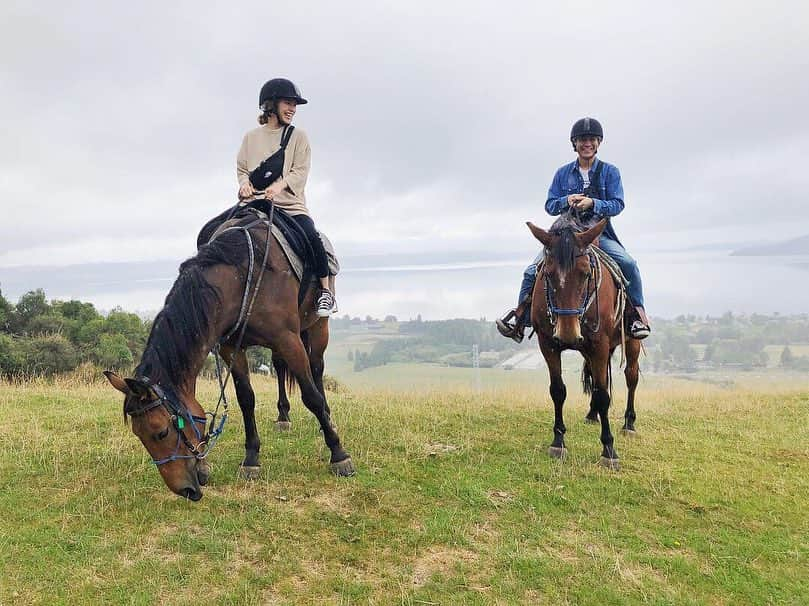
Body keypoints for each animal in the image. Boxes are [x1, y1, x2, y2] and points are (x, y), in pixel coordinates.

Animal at [103, 210, 350, 504]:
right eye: (139, 435)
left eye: (161, 432)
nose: (185, 490)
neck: (242, 277)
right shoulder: (232, 348)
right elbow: (246, 400)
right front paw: (251, 458)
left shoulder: (289, 339)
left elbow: (311, 396)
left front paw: (339, 454)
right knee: (279, 367)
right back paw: (283, 417)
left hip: (317, 327)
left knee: (317, 370)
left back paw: (327, 420)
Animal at [528, 213, 640, 470]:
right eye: (547, 274)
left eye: (586, 274)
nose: (568, 333)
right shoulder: (548, 344)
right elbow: (558, 390)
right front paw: (558, 441)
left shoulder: (599, 345)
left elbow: (603, 395)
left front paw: (609, 450)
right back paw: (591, 415)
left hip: (631, 343)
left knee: (631, 376)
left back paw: (629, 424)